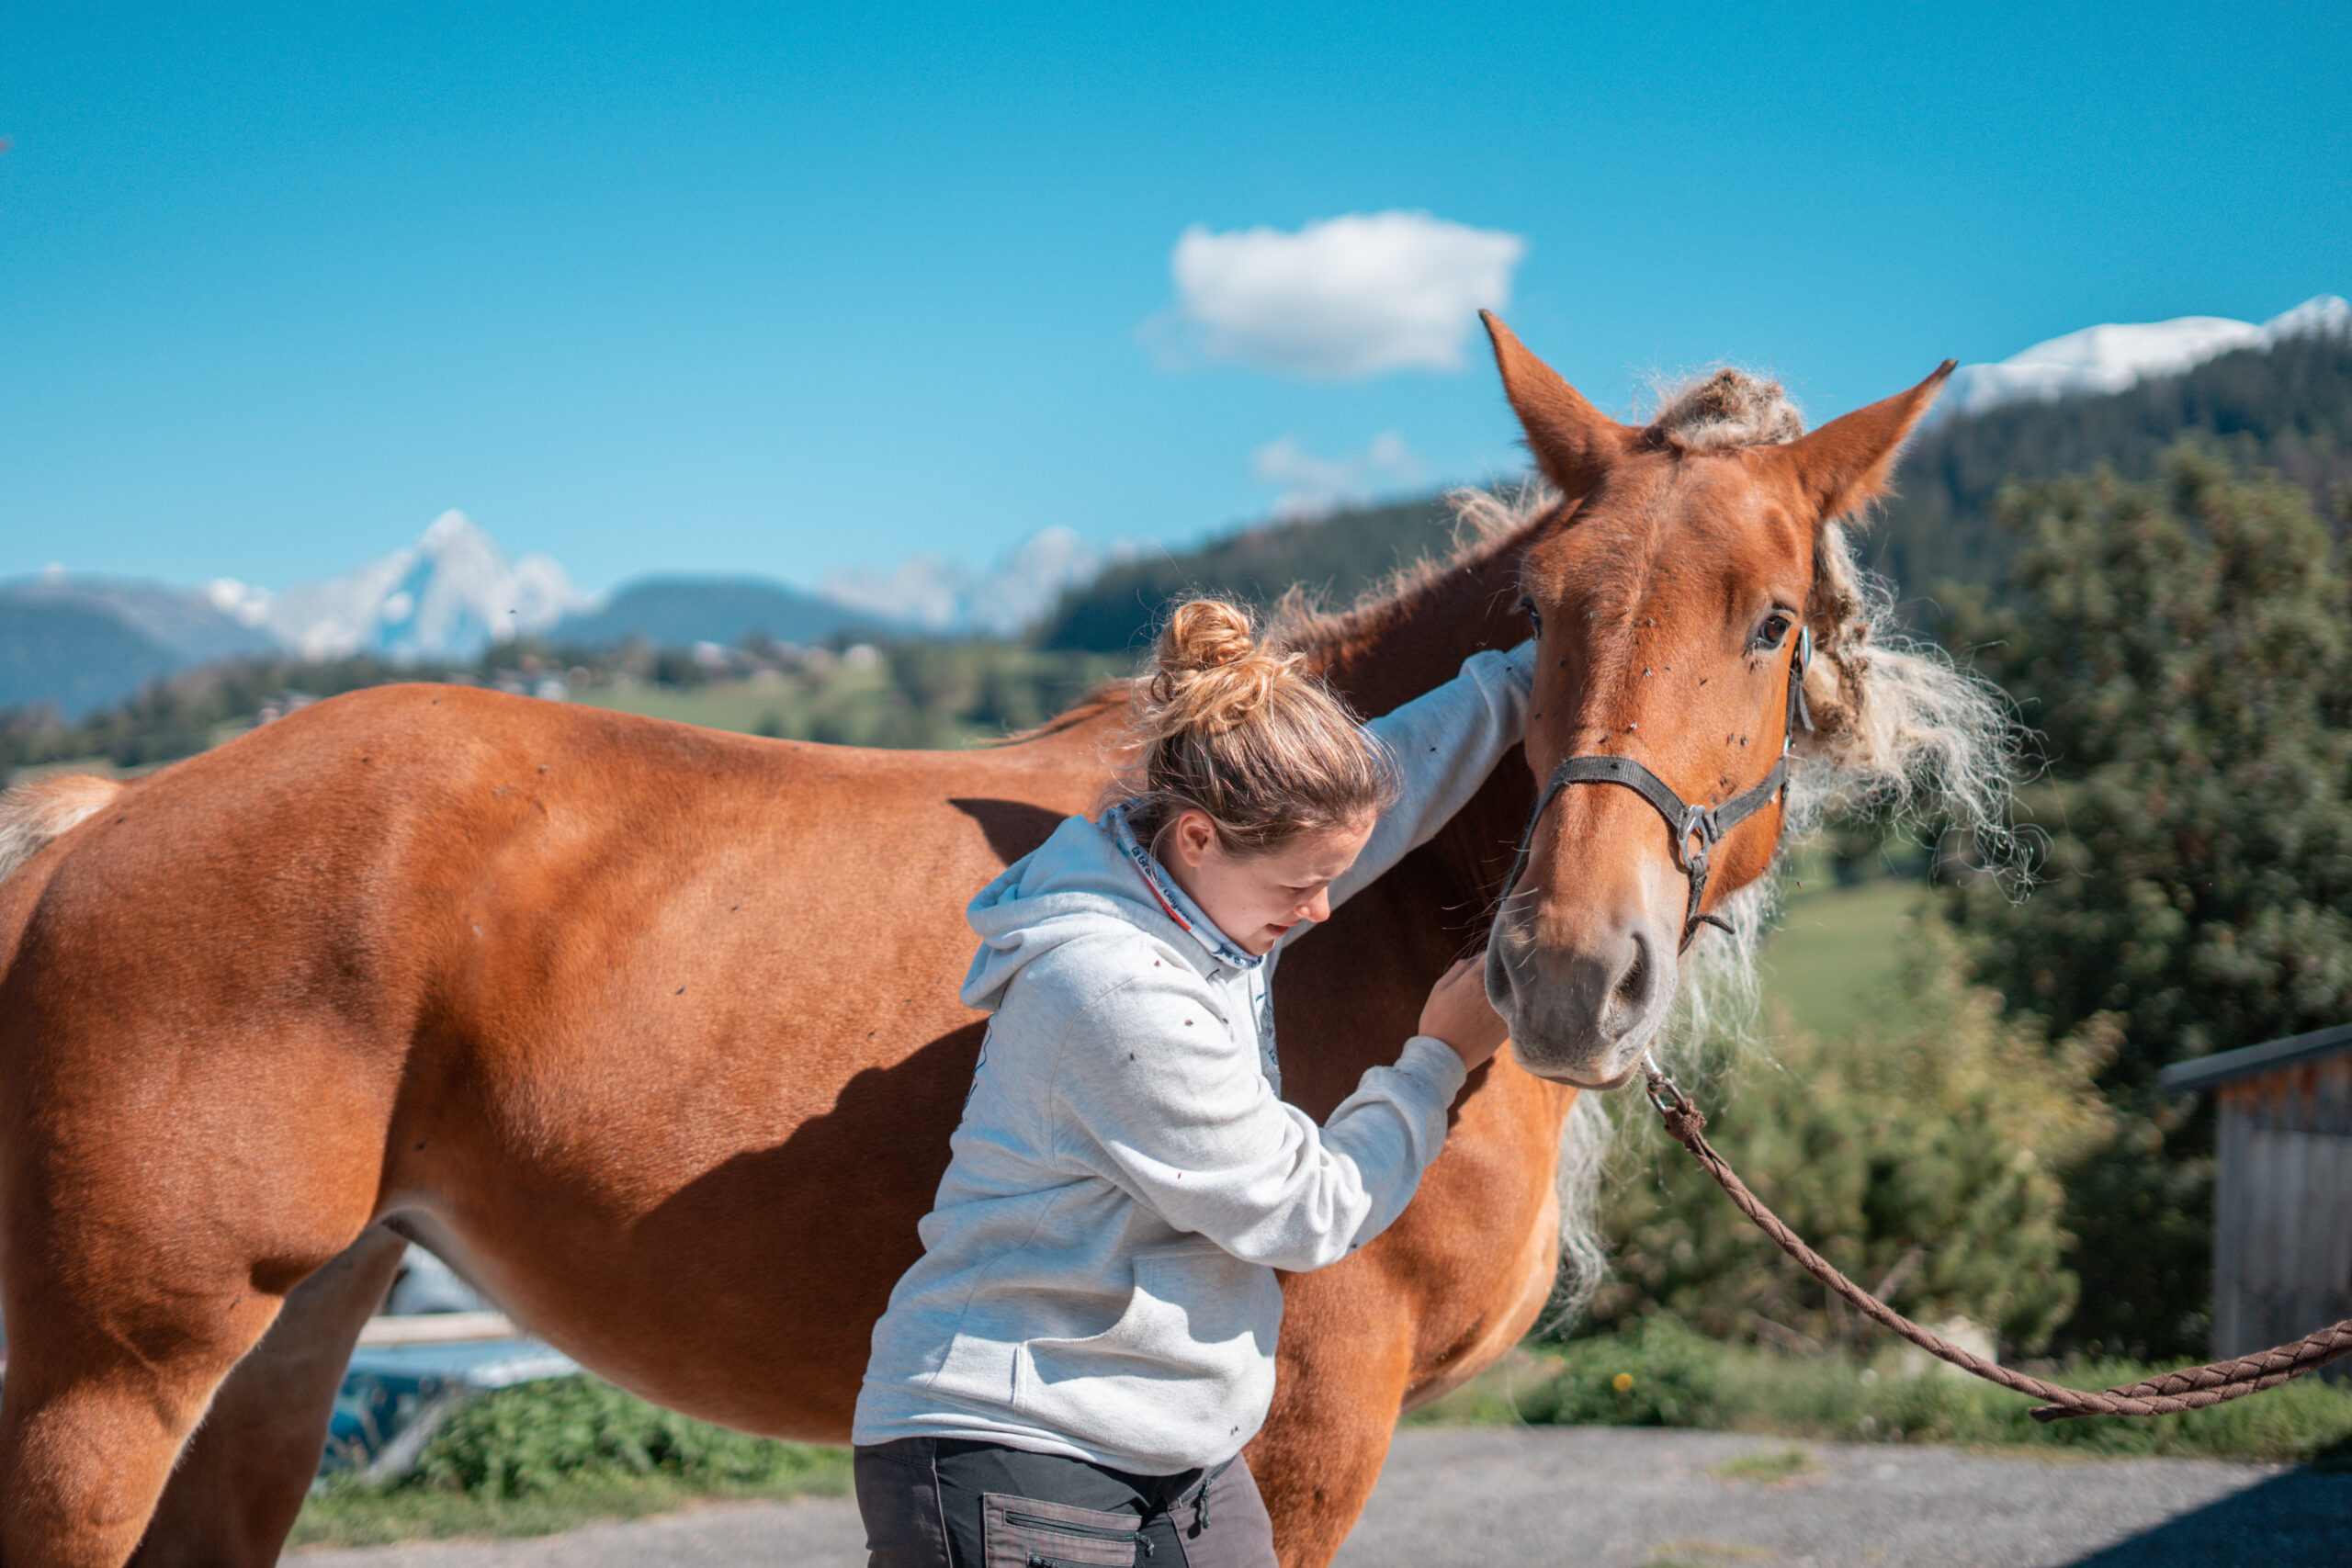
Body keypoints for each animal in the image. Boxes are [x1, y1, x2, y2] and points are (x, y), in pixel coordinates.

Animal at [0, 315, 2003, 1567]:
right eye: (1543, 605)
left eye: (1767, 621)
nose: (1570, 965)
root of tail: (102, 814)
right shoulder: (1300, 1434)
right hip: (106, 1385)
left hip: (273, 1362)